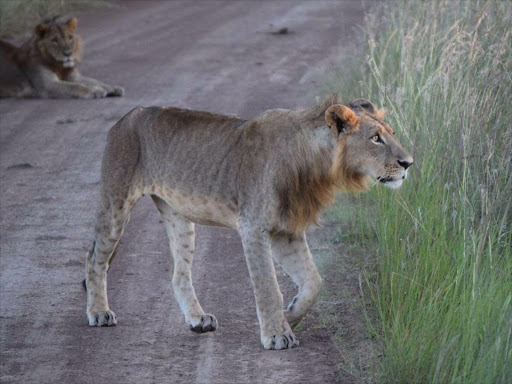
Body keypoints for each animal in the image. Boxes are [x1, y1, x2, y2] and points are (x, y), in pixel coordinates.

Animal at [84, 97, 412, 352]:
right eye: (376, 138)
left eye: (392, 133)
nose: (408, 163)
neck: (315, 163)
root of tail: (128, 115)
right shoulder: (253, 226)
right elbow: (268, 285)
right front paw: (277, 335)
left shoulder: (286, 231)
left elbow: (313, 281)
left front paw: (289, 316)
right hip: (116, 203)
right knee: (94, 260)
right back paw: (99, 313)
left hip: (178, 216)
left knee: (179, 274)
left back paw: (198, 319)